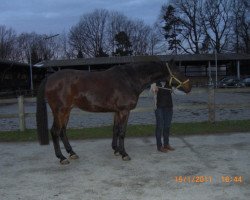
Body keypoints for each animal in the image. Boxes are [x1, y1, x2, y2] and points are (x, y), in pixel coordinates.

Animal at [35, 57, 191, 164]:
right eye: (177, 71)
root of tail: (50, 77)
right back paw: (62, 158)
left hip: (66, 111)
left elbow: (115, 129)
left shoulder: (117, 111)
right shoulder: (124, 111)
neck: (130, 79)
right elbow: (122, 132)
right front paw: (124, 154)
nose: (189, 87)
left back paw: (71, 153)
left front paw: (116, 150)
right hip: (60, 111)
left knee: (62, 131)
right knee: (55, 131)